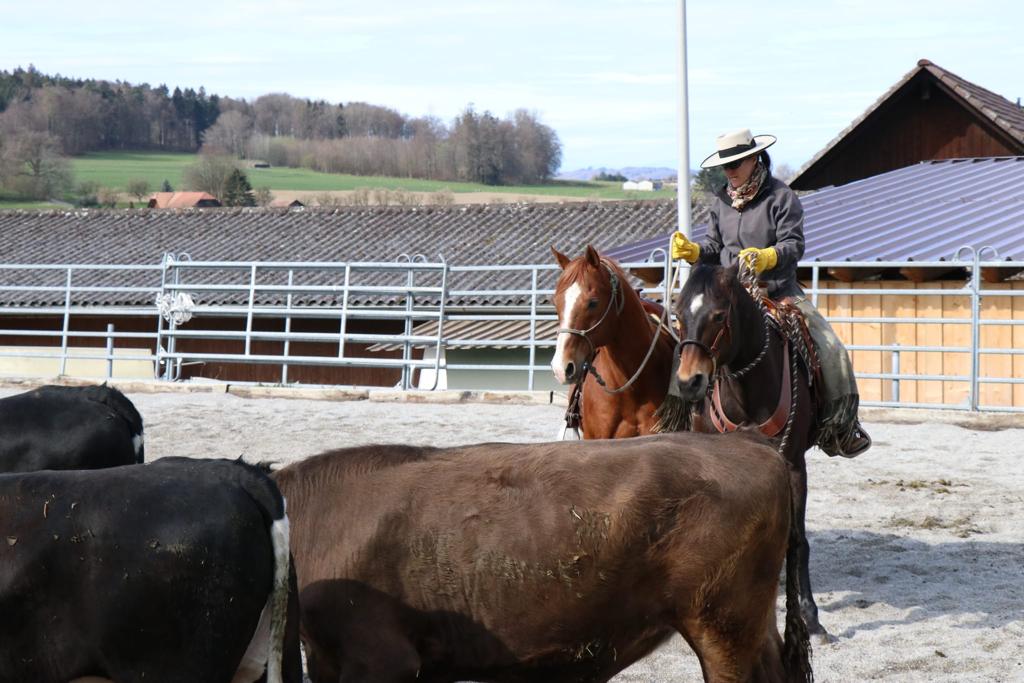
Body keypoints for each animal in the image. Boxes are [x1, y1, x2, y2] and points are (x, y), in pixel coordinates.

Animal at [671, 262, 831, 643]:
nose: (688, 382)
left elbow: (798, 540)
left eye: (718, 315)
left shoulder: (793, 465)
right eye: (678, 315)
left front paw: (810, 616)